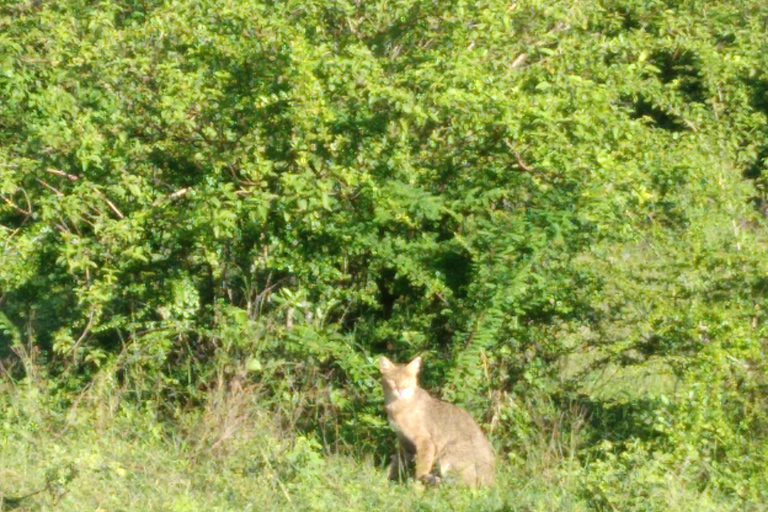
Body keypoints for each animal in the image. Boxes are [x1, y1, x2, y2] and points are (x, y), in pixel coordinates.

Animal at [380, 354, 498, 486]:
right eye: (393, 380)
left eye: (408, 380)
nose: (400, 389)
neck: (397, 407)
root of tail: (490, 481)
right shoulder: (404, 442)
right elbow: (395, 464)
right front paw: (382, 481)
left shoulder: (425, 441)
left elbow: (421, 469)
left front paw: (416, 487)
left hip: (448, 457)